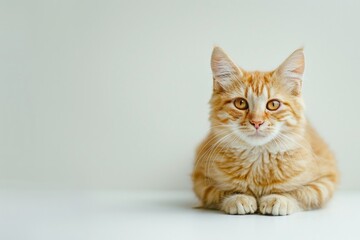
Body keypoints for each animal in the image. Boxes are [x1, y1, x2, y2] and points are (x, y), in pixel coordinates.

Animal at [193, 47, 338, 216]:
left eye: (273, 104)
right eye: (240, 103)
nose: (257, 122)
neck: (258, 156)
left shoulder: (326, 179)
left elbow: (300, 193)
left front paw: (279, 199)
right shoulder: (200, 180)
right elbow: (221, 193)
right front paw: (239, 198)